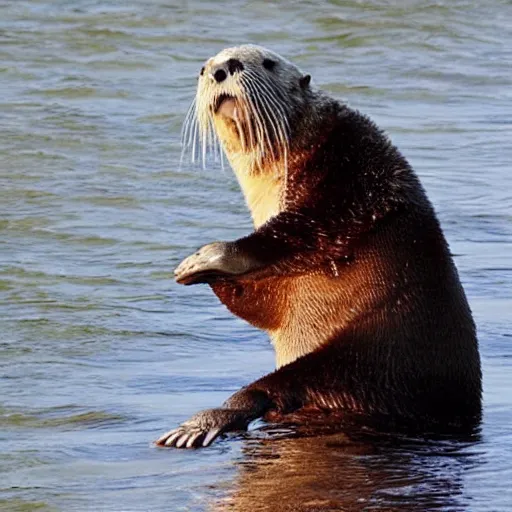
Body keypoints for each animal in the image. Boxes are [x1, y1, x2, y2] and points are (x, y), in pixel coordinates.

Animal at [155, 46, 480, 450]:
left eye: (267, 64)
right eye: (203, 69)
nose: (219, 70)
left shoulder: (351, 177)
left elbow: (302, 231)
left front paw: (208, 256)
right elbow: (261, 303)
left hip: (367, 358)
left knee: (277, 389)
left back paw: (201, 423)